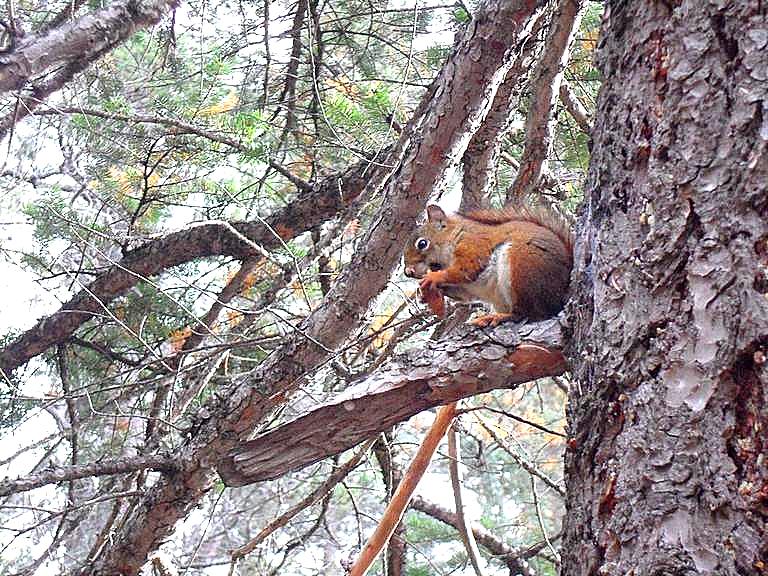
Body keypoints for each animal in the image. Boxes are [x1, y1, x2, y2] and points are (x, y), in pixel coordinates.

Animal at [402, 205, 568, 326]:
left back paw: (498, 317)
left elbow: (465, 269)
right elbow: (463, 294)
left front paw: (434, 277)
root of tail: (559, 298)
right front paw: (425, 295)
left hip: (521, 267)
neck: (456, 235)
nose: (408, 272)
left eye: (422, 244)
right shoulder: (466, 288)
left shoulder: (475, 245)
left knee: (528, 313)